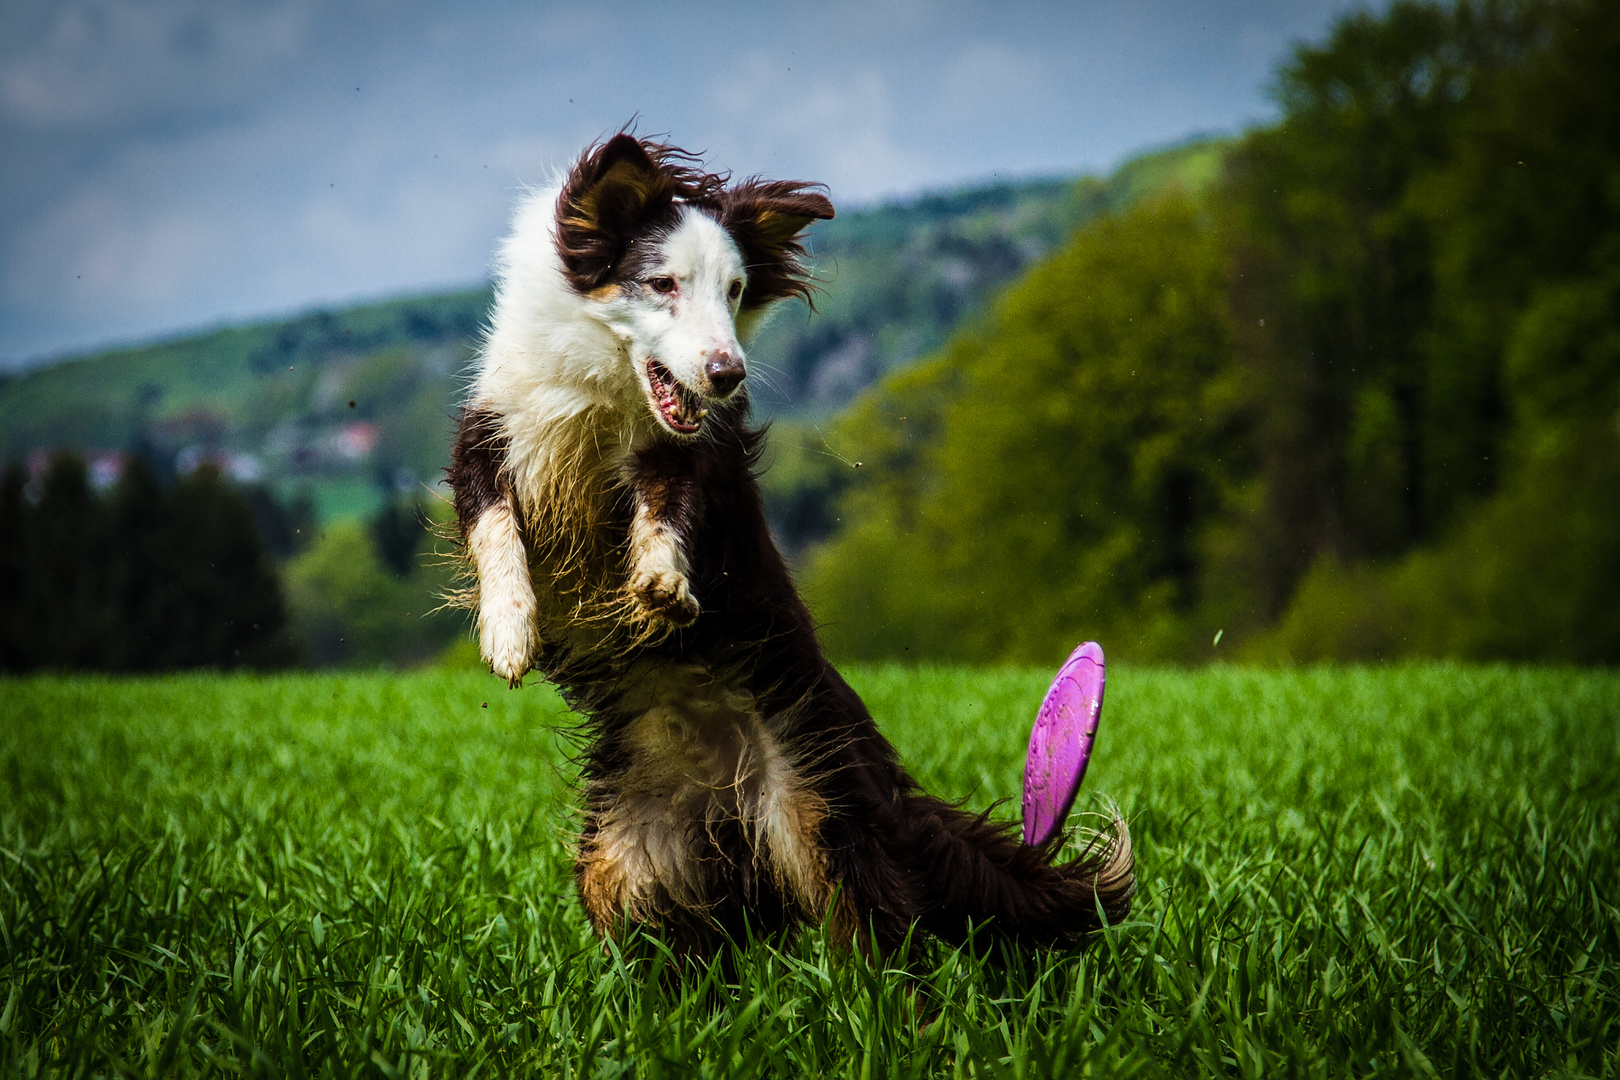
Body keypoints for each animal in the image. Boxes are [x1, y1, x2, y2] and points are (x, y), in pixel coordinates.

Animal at [440, 132, 1127, 952]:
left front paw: (662, 585)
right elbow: (496, 532)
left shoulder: (689, 457)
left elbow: (667, 512)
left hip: (816, 814)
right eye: (662, 284)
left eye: (735, 290)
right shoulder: (484, 441)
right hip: (628, 857)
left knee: (875, 927)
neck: (604, 396)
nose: (726, 372)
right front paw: (510, 632)